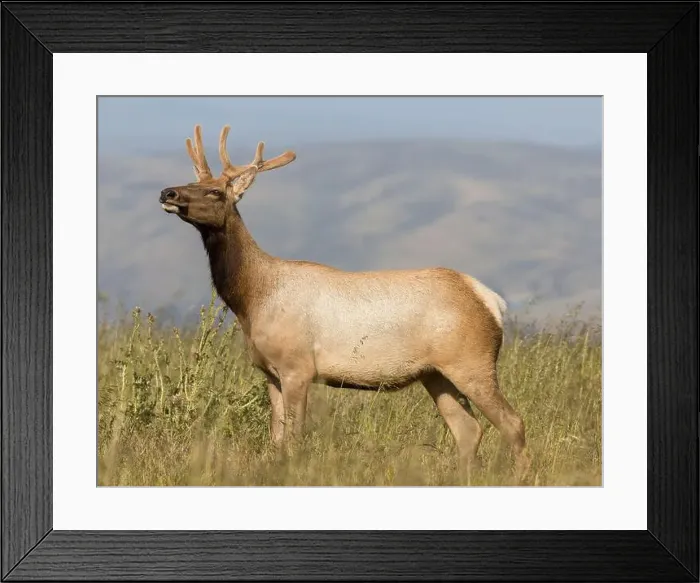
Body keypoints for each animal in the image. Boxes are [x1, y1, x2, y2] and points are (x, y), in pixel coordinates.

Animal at [159, 124, 530, 480]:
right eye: (192, 181)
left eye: (215, 191)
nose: (168, 193)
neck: (254, 298)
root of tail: (491, 301)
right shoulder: (270, 372)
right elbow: (276, 439)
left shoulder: (298, 366)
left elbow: (294, 437)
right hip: (436, 373)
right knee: (469, 430)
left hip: (472, 360)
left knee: (512, 422)